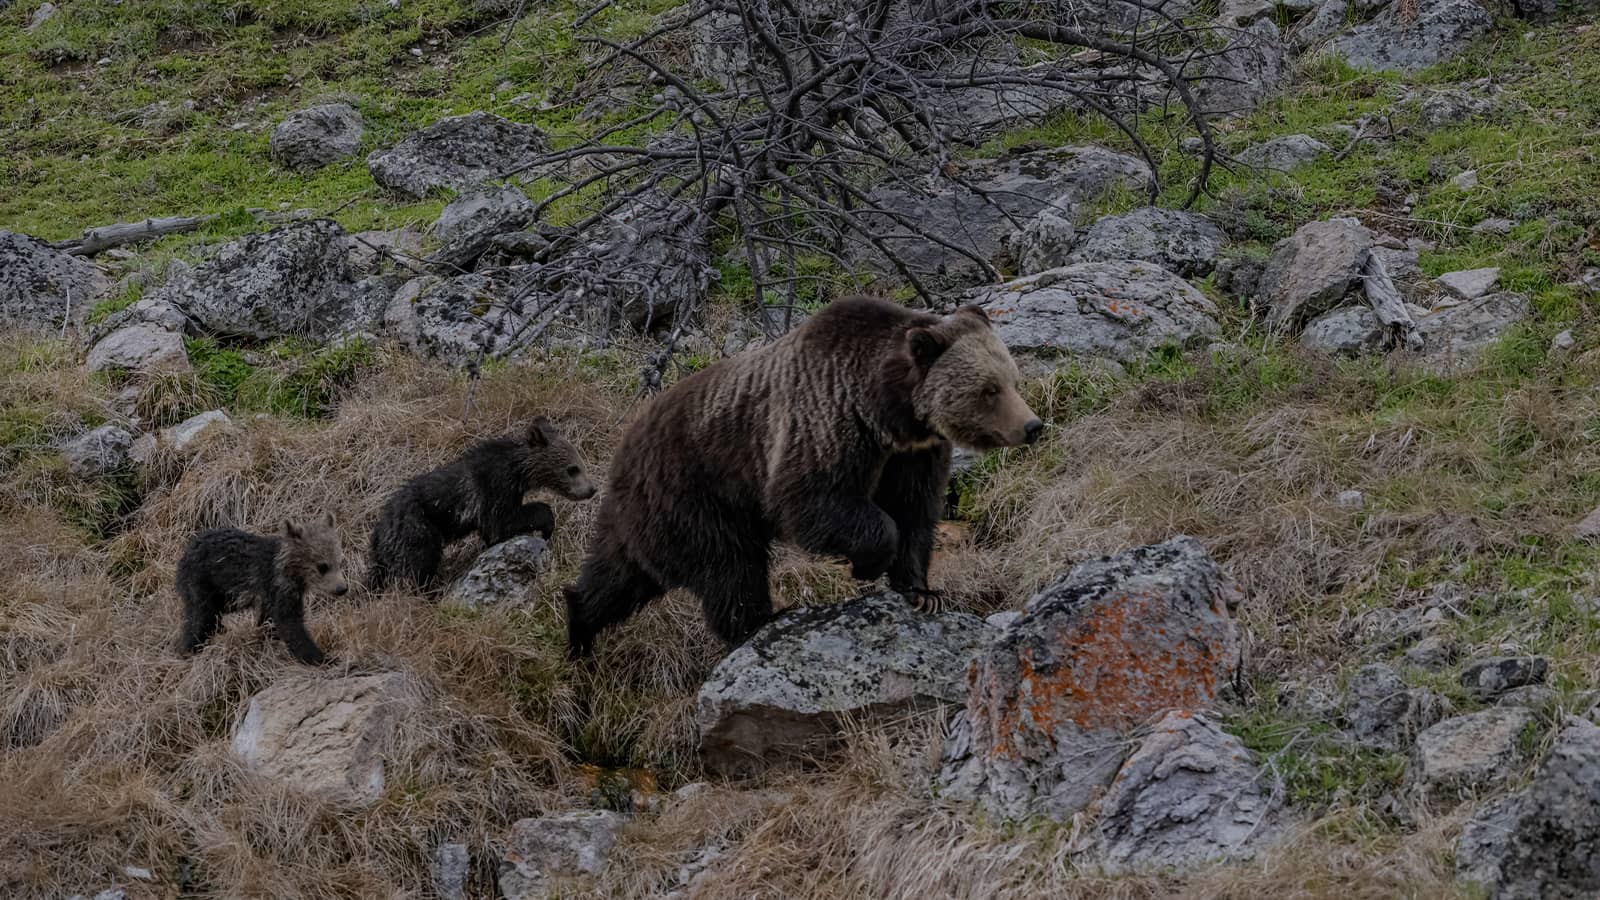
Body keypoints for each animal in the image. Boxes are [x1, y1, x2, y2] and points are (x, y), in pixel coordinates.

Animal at [175, 513, 349, 665]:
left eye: (340, 562)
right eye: (322, 566)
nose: (342, 588)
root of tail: (185, 553)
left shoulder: (272, 595)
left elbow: (268, 622)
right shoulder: (277, 586)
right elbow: (289, 623)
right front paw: (322, 657)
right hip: (202, 583)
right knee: (200, 618)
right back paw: (190, 648)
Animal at [367, 416, 596, 592]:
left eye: (580, 463)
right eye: (573, 469)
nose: (591, 489)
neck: (518, 474)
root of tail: (379, 530)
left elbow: (492, 532)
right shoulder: (494, 490)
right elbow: (503, 522)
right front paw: (546, 526)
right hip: (417, 531)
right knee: (418, 568)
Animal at [564, 296, 1042, 657]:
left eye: (1013, 379)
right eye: (990, 389)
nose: (1032, 426)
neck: (890, 413)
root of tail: (623, 448)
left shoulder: (913, 454)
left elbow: (915, 512)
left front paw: (923, 592)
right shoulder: (825, 418)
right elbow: (808, 498)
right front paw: (868, 564)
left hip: (649, 516)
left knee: (620, 573)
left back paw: (579, 624)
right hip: (694, 492)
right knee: (729, 566)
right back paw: (759, 621)